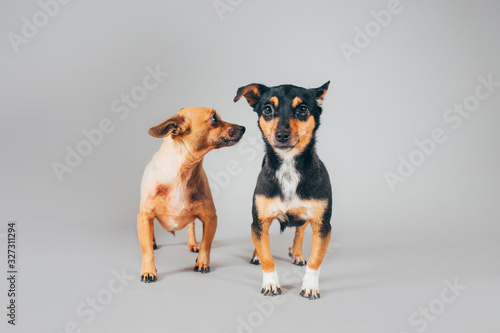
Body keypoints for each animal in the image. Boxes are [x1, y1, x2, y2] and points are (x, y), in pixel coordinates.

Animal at [138, 105, 245, 280]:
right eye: (214, 118)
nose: (243, 127)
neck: (182, 172)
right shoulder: (144, 217)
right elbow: (146, 250)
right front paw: (148, 270)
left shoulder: (210, 219)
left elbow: (206, 245)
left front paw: (202, 262)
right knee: (151, 233)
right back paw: (153, 242)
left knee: (191, 226)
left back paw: (193, 243)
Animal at [234, 81, 332, 298]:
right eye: (267, 110)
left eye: (303, 109)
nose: (281, 135)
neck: (288, 167)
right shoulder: (259, 221)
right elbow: (267, 256)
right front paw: (271, 283)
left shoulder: (322, 226)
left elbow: (316, 260)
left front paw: (310, 286)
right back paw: (257, 255)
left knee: (300, 230)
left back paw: (297, 254)